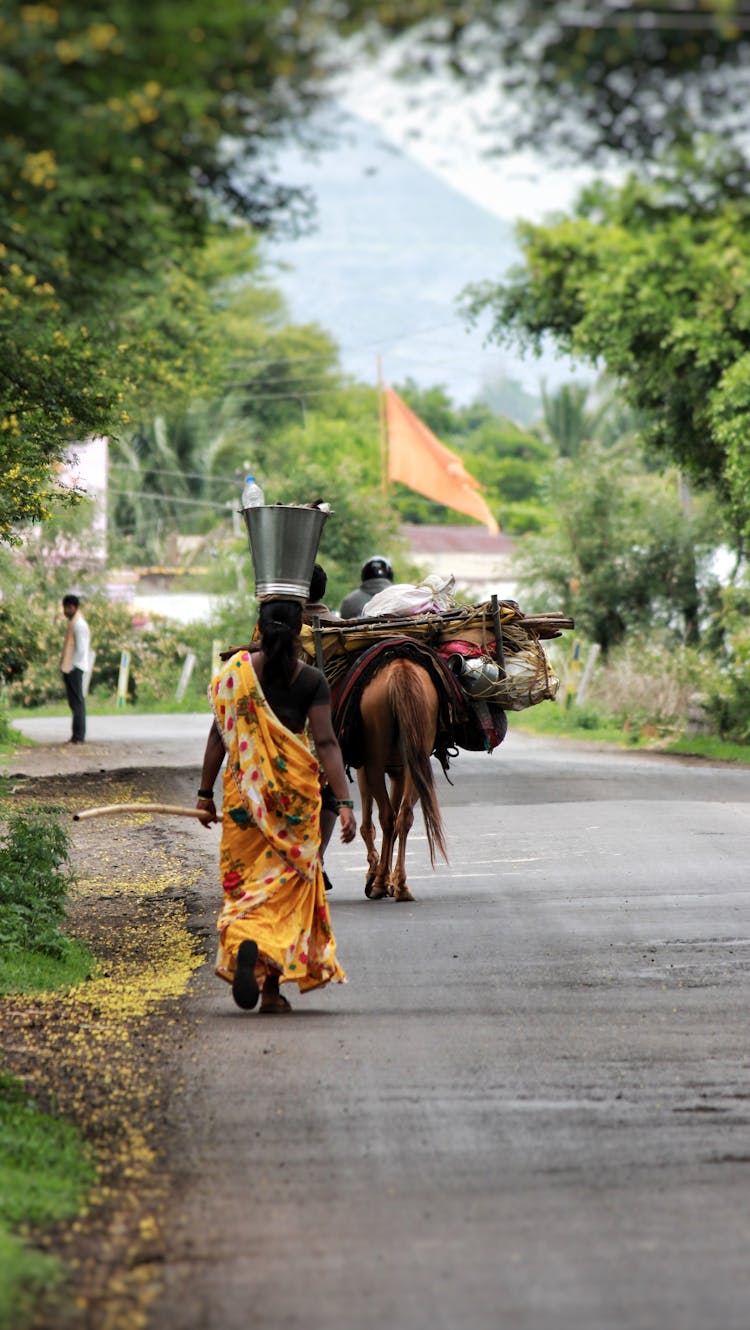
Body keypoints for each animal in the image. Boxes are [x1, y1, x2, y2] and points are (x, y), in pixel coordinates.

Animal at [356, 657, 444, 904]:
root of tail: (400, 668)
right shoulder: (399, 771)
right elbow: (395, 821)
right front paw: (388, 879)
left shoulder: (363, 766)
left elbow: (368, 824)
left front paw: (375, 873)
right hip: (418, 754)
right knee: (403, 816)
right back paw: (402, 886)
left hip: (374, 760)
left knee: (387, 817)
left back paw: (378, 885)